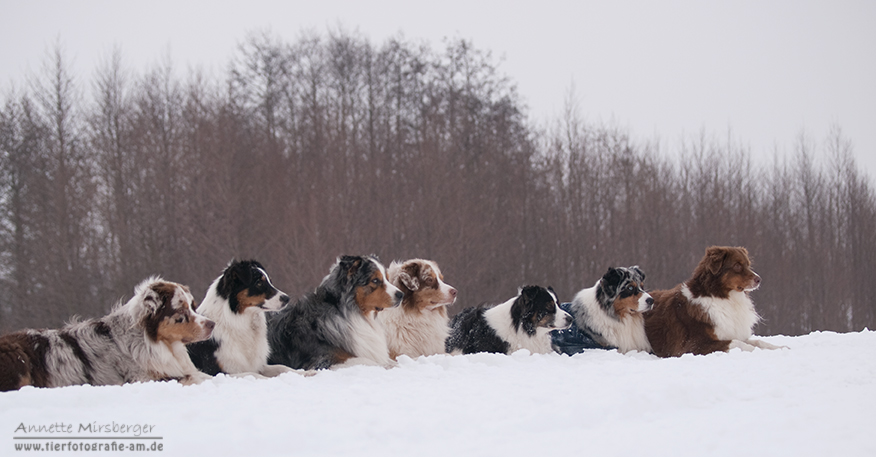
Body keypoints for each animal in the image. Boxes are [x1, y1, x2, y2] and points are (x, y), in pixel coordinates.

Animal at [644, 246, 780, 356]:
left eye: (748, 265)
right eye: (737, 265)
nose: (759, 279)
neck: (721, 296)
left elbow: (759, 341)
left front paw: (780, 347)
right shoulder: (691, 346)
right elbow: (738, 343)